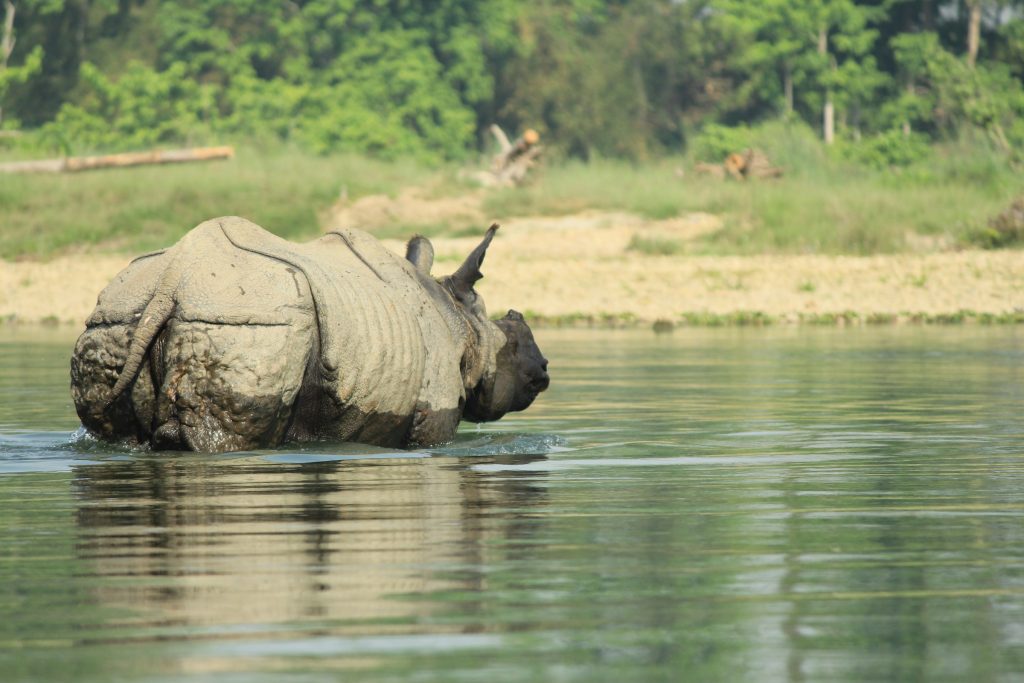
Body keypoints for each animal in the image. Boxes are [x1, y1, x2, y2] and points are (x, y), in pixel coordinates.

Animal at [70, 216, 549, 452]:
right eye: (513, 342)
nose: (543, 370)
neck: (460, 322)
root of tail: (173, 278)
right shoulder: (434, 416)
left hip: (117, 318)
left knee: (116, 430)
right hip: (251, 322)